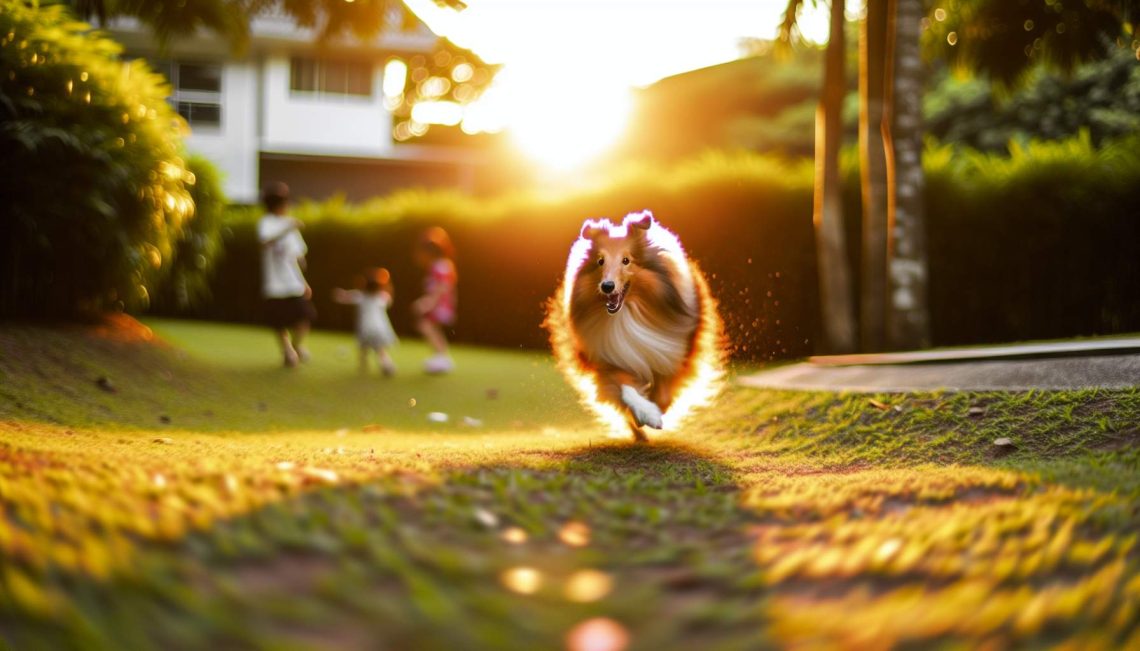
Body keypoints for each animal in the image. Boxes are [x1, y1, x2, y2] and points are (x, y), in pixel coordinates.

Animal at [542, 210, 720, 440]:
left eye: (626, 260)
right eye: (600, 261)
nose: (607, 286)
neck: (628, 314)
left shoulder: (674, 354)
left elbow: (663, 396)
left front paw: (655, 410)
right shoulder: (608, 361)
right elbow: (626, 389)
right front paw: (647, 414)